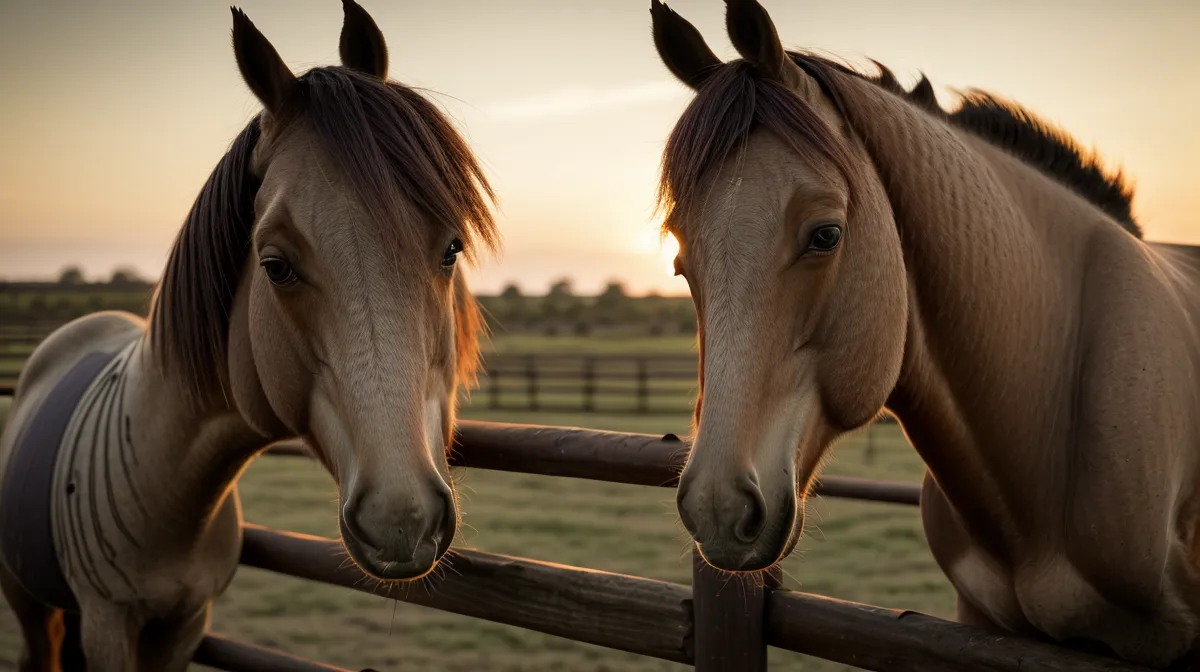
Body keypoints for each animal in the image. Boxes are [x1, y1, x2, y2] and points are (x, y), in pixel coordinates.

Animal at [0, 1, 497, 669]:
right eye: (275, 265)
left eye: (452, 248)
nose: (403, 518)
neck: (163, 479)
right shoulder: (108, 625)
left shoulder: (185, 624)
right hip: (28, 599)